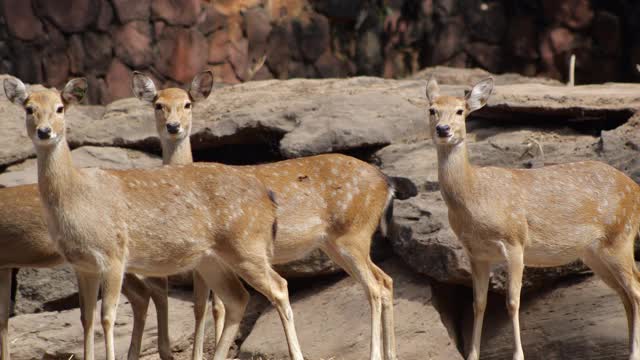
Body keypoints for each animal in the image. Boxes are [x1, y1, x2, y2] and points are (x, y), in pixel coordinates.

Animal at [1, 77, 308, 360]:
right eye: (29, 108)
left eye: (60, 108)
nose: (44, 131)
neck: (77, 198)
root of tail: (268, 199)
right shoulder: (82, 264)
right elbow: (86, 319)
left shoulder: (113, 255)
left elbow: (107, 317)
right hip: (211, 259)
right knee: (237, 298)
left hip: (246, 244)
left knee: (279, 287)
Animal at [132, 71, 398, 360]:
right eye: (158, 104)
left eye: (187, 104)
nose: (173, 126)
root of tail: (386, 183)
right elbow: (204, 306)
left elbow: (212, 306)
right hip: (336, 243)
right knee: (385, 280)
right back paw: (391, 353)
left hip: (352, 234)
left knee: (373, 287)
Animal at [428, 74, 640, 358]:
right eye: (432, 110)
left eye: (460, 111)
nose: (443, 129)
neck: (475, 196)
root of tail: (635, 189)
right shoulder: (476, 253)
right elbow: (479, 303)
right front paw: (472, 354)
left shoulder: (515, 240)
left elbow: (512, 301)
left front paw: (518, 354)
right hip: (594, 253)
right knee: (624, 294)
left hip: (620, 236)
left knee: (635, 290)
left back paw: (634, 351)